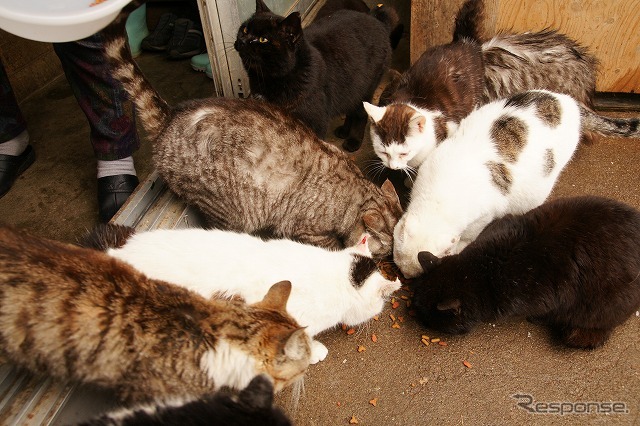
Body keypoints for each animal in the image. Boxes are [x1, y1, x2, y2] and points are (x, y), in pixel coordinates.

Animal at [232, 0, 398, 151]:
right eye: (245, 29)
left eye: (263, 39)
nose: (243, 40)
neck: (267, 80)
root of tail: (377, 21)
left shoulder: (315, 123)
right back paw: (343, 131)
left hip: (366, 88)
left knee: (361, 114)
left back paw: (353, 141)